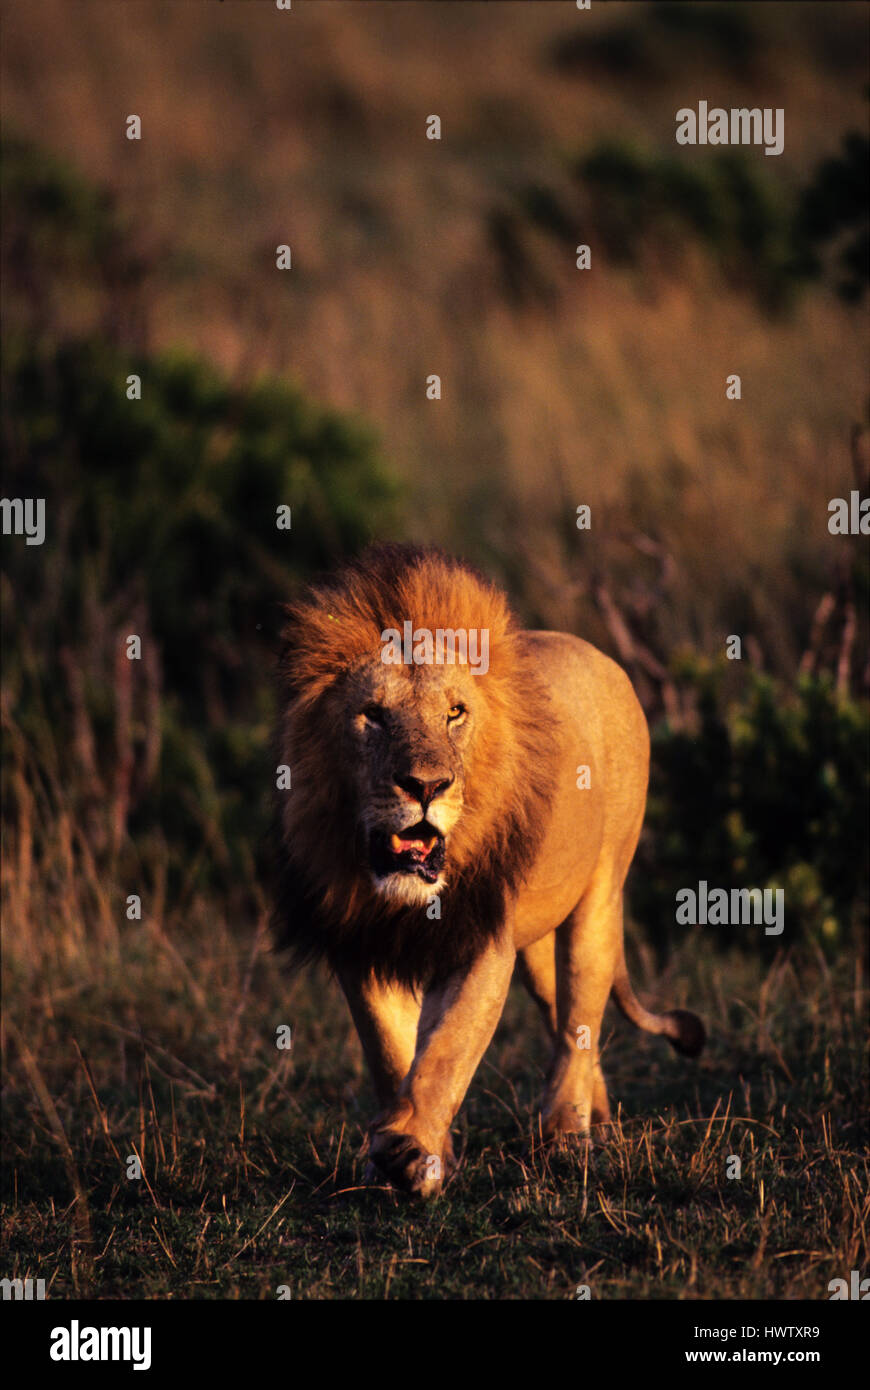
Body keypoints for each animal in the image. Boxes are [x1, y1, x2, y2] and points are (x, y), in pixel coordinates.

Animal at [274, 543, 704, 1197]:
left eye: (455, 713)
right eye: (372, 715)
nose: (425, 786)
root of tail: (601, 655)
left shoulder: (479, 939)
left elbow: (446, 1052)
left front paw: (411, 1153)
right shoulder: (361, 943)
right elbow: (390, 1053)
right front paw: (403, 1154)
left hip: (598, 900)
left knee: (580, 1017)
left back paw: (568, 1135)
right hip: (537, 945)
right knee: (563, 1019)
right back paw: (599, 1116)